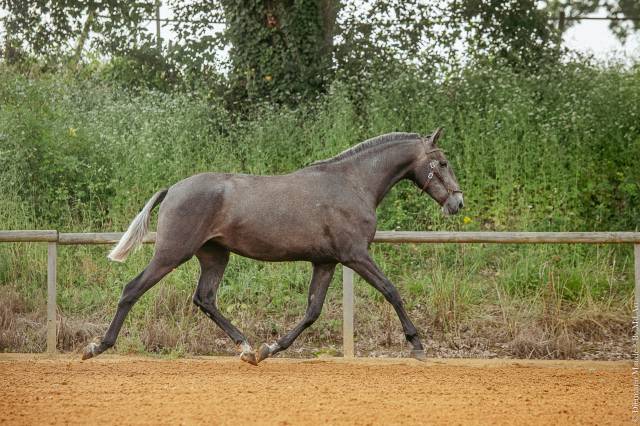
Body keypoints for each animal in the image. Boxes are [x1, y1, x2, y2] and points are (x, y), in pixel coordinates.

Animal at [82, 128, 463, 364]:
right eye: (443, 162)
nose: (457, 203)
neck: (353, 184)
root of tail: (173, 188)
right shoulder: (355, 255)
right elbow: (391, 291)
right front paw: (417, 345)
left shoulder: (326, 262)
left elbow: (312, 311)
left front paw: (269, 349)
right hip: (172, 253)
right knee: (132, 289)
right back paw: (97, 347)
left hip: (214, 256)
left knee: (205, 298)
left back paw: (246, 348)